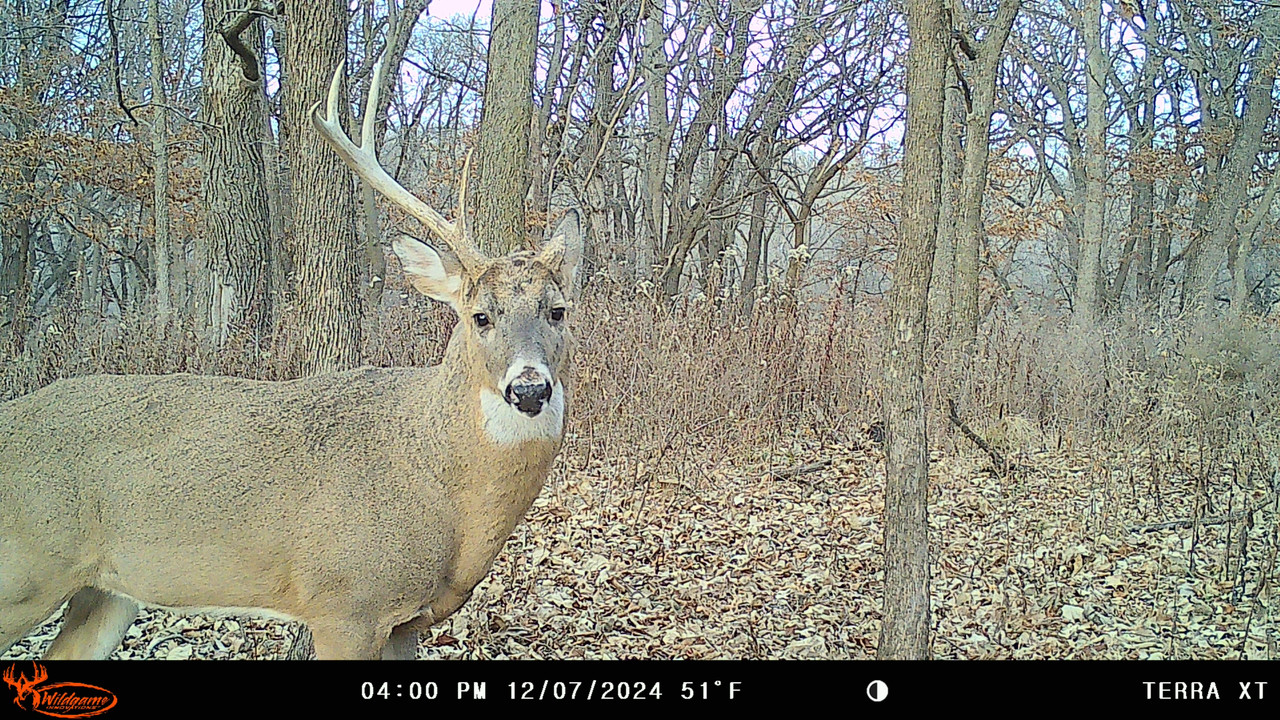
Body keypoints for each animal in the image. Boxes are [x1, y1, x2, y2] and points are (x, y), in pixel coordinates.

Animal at [0, 55, 582, 660]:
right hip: (26, 570)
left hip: (106, 590)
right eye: (480, 316)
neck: (439, 484)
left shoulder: (407, 621)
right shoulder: (343, 602)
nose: (530, 388)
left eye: (558, 310)